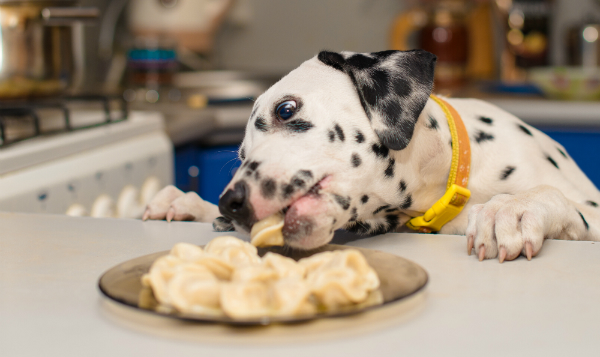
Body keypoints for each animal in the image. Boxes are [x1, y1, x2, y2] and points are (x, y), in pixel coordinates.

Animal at [144, 49, 600, 262]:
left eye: (285, 109)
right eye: (240, 154)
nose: (231, 203)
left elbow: (553, 198)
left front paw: (513, 209)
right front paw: (191, 204)